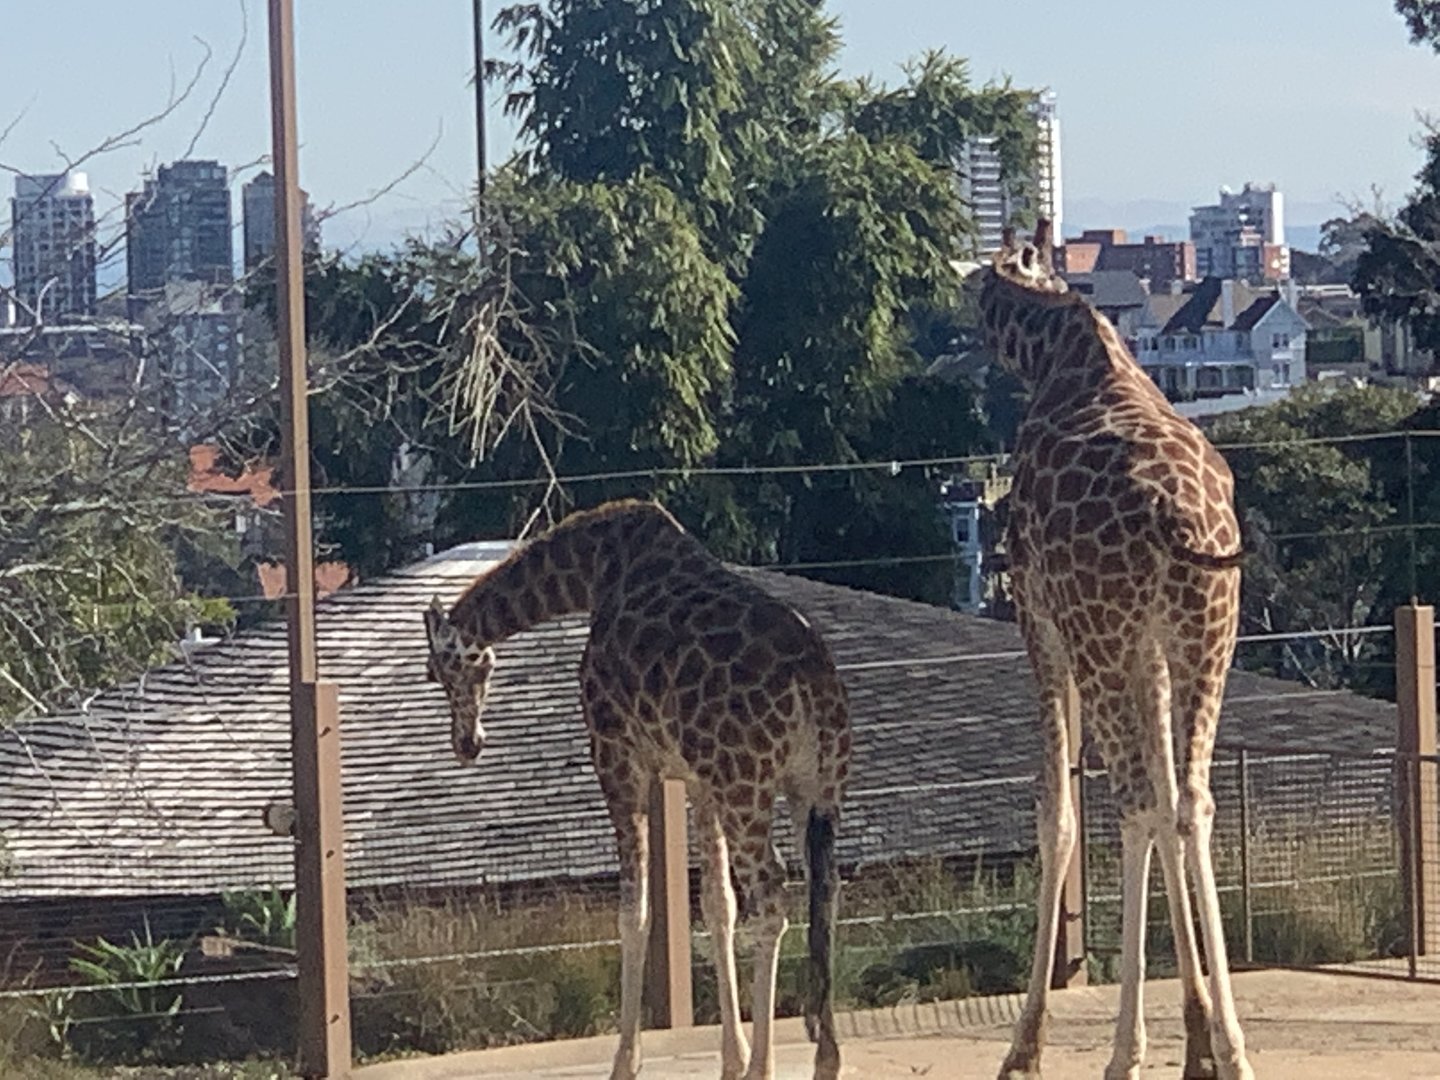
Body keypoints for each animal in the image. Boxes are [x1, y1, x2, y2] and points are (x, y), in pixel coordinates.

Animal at [422, 499, 850, 1080]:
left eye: (444, 670)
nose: (468, 743)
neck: (594, 572)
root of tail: (815, 679)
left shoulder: (618, 754)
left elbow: (635, 910)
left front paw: (626, 1061)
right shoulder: (698, 779)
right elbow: (716, 905)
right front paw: (731, 1058)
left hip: (747, 784)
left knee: (770, 890)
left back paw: (766, 1067)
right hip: (815, 788)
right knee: (823, 887)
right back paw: (825, 1055)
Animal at [977, 221, 1253, 1080]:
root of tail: (1179, 518)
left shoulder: (1040, 620)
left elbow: (1057, 812)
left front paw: (1024, 1047)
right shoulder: (1152, 652)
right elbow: (1169, 801)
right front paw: (1196, 1034)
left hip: (1100, 636)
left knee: (1130, 801)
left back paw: (1124, 1051)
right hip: (1208, 636)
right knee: (1190, 798)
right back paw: (1233, 1049)